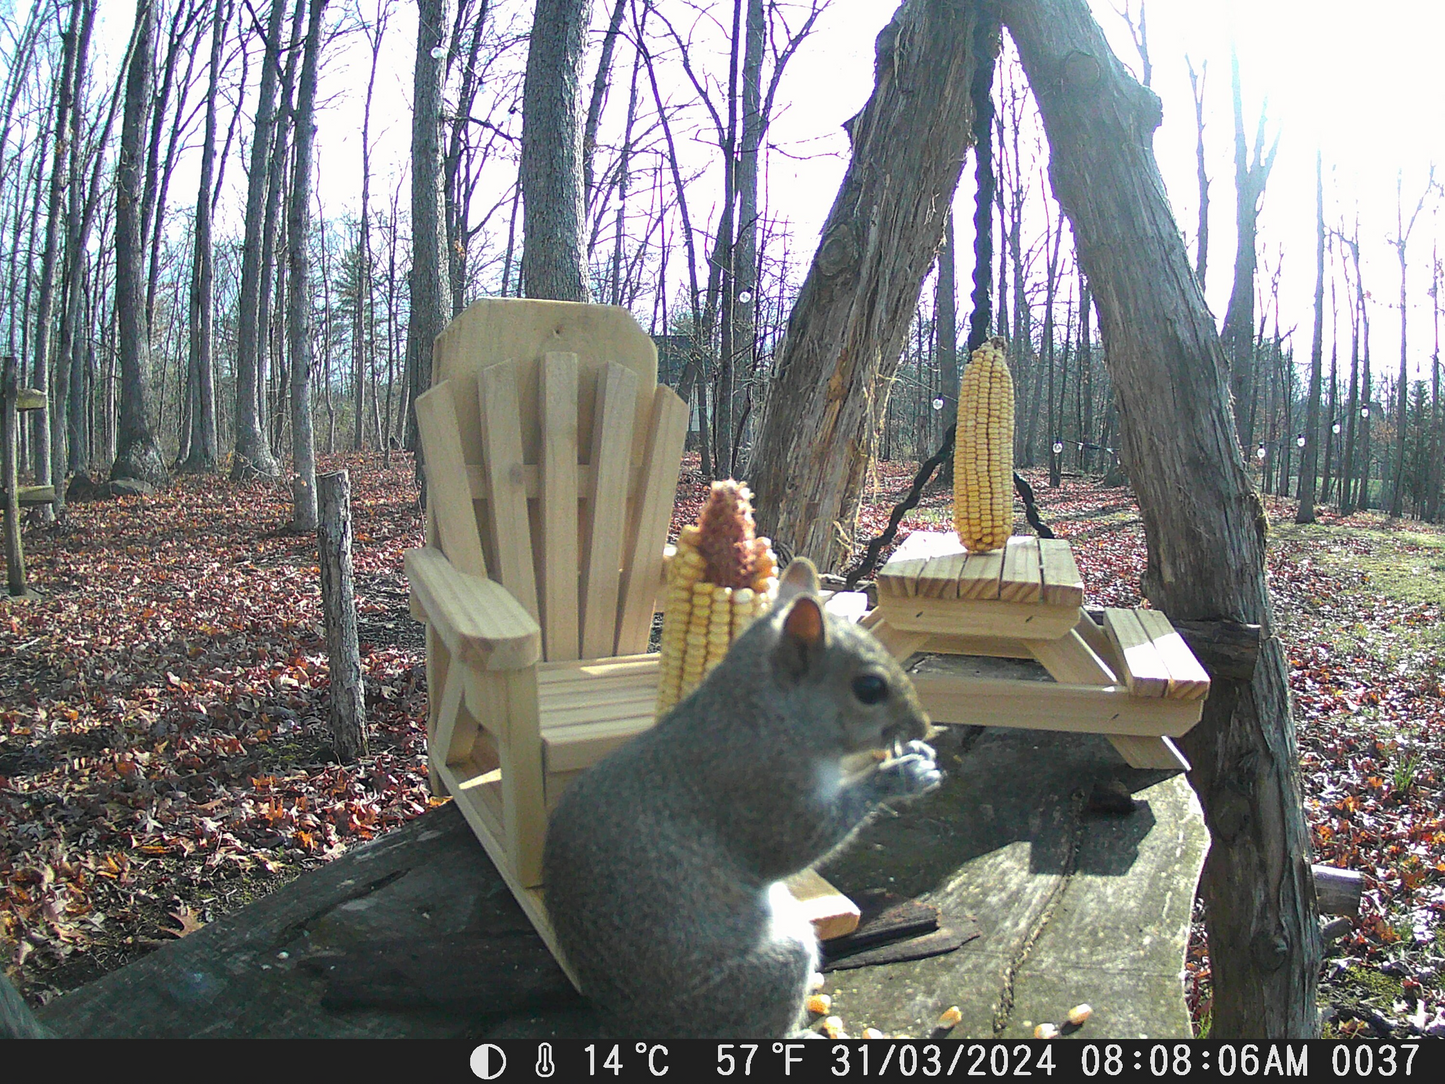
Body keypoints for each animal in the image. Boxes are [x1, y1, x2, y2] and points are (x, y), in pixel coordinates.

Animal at [540, 560, 936, 1046]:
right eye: (869, 687)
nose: (924, 726)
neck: (763, 713)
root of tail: (632, 1026)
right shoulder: (759, 789)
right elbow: (795, 846)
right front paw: (903, 775)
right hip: (768, 974)